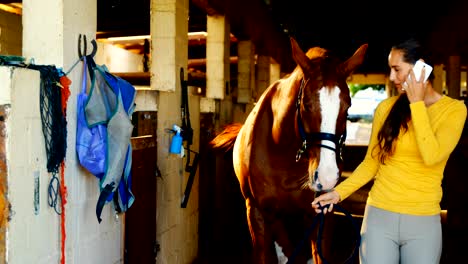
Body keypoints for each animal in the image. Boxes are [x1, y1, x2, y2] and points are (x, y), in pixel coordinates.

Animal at [210, 37, 368, 264]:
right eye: (306, 104)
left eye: (347, 106)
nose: (327, 177)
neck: (282, 152)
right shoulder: (256, 212)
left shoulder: (321, 213)